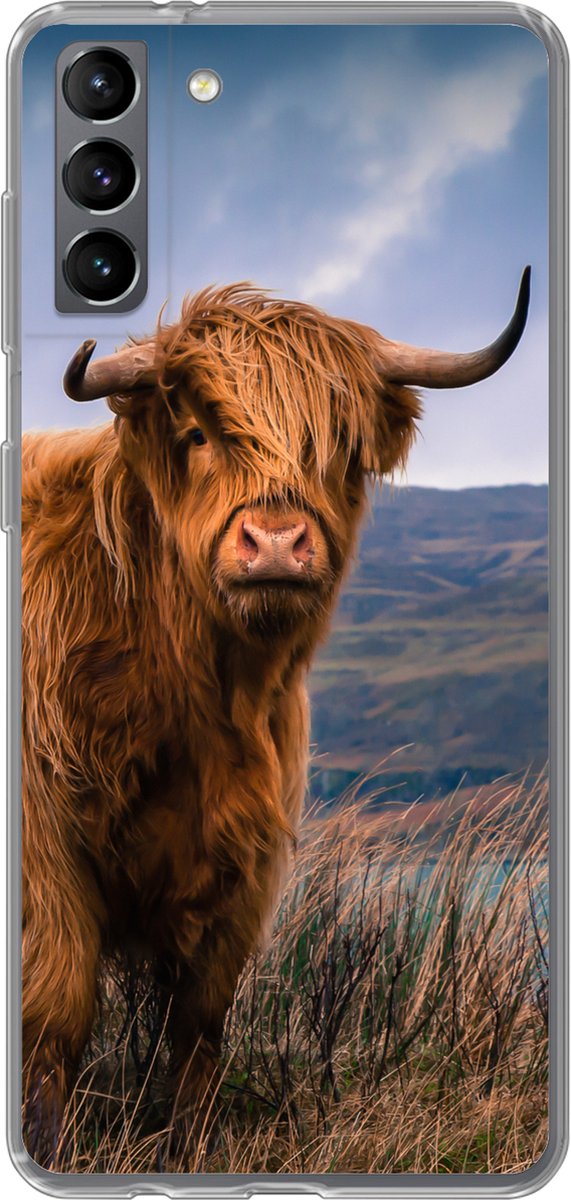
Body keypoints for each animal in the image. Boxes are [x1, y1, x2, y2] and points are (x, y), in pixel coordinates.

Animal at [22, 272, 530, 1160]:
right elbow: (56, 1017)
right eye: (196, 433)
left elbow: (198, 1026)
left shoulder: (242, 865)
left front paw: (191, 1151)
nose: (275, 544)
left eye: (338, 449)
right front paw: (49, 1152)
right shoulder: (48, 857)